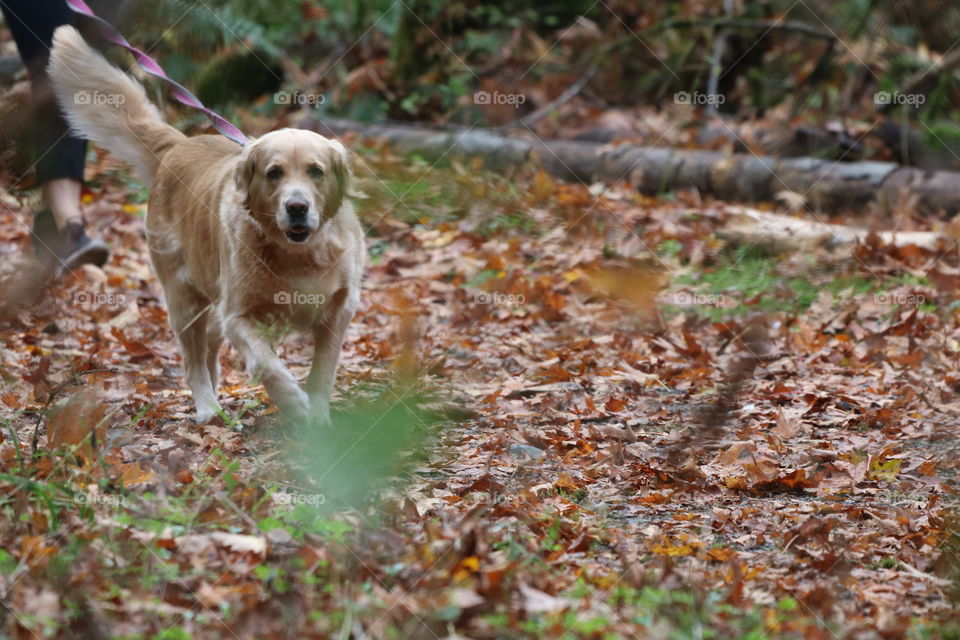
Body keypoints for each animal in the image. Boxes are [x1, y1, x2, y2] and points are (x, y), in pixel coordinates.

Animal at [47, 26, 364, 424]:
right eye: (274, 173)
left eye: (316, 171)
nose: (296, 207)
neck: (298, 253)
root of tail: (178, 145)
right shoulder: (238, 314)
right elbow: (266, 364)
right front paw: (293, 401)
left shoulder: (339, 309)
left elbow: (323, 369)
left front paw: (319, 419)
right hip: (184, 298)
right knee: (193, 362)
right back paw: (208, 408)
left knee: (209, 351)